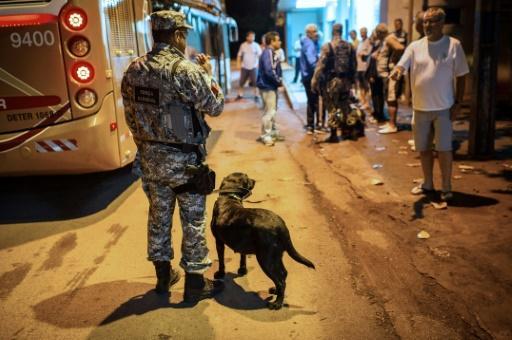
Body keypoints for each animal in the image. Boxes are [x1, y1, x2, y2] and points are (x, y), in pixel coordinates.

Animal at [210, 173, 314, 308]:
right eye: (247, 177)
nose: (254, 180)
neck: (230, 197)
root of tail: (281, 225)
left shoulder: (219, 241)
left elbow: (221, 261)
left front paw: (220, 273)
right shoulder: (242, 243)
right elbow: (242, 257)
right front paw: (242, 270)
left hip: (265, 259)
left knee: (280, 280)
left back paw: (277, 304)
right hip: (276, 256)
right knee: (283, 274)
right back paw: (275, 291)